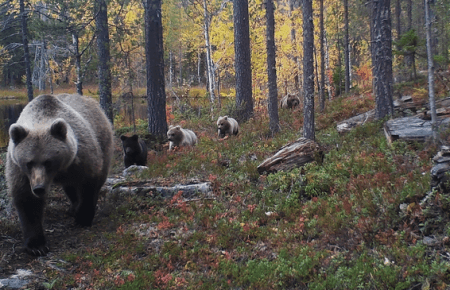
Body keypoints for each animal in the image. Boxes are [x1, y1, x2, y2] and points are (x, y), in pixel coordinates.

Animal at [5, 93, 113, 256]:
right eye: (29, 163)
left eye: (48, 162)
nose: (39, 188)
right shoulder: (19, 170)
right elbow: (27, 200)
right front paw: (37, 245)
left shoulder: (82, 157)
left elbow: (89, 184)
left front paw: (83, 218)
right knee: (70, 187)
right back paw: (73, 207)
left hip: (102, 138)